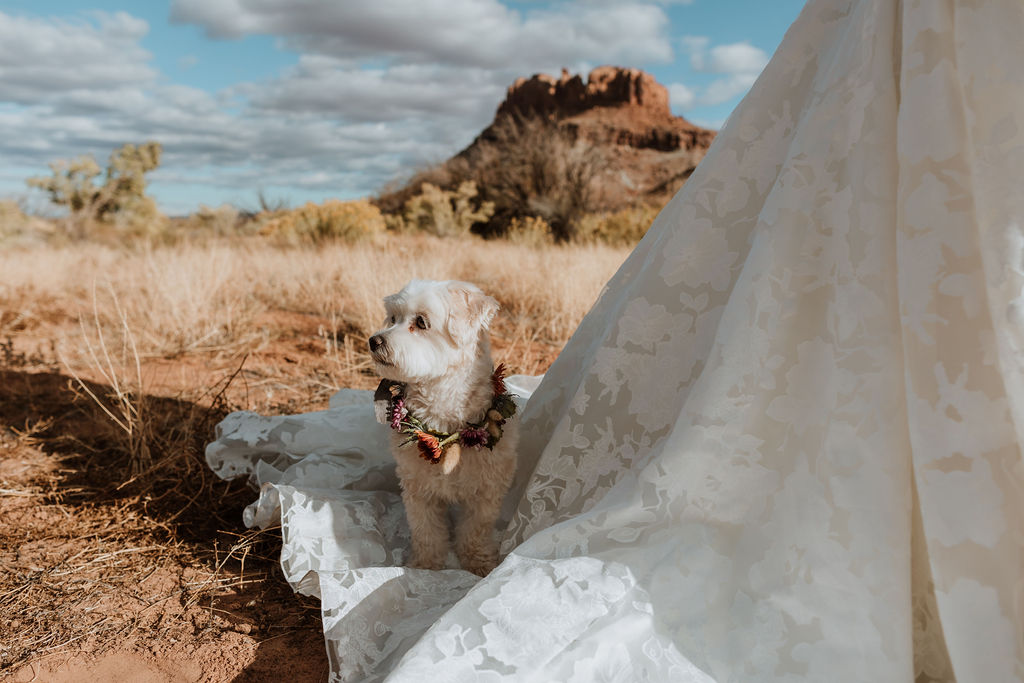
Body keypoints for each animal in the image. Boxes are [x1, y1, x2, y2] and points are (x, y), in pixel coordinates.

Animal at [368, 278, 520, 577]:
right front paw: (425, 567)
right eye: (393, 318)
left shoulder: (487, 490)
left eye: (421, 322)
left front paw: (478, 562)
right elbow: (426, 531)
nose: (374, 340)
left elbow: (476, 530)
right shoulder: (418, 489)